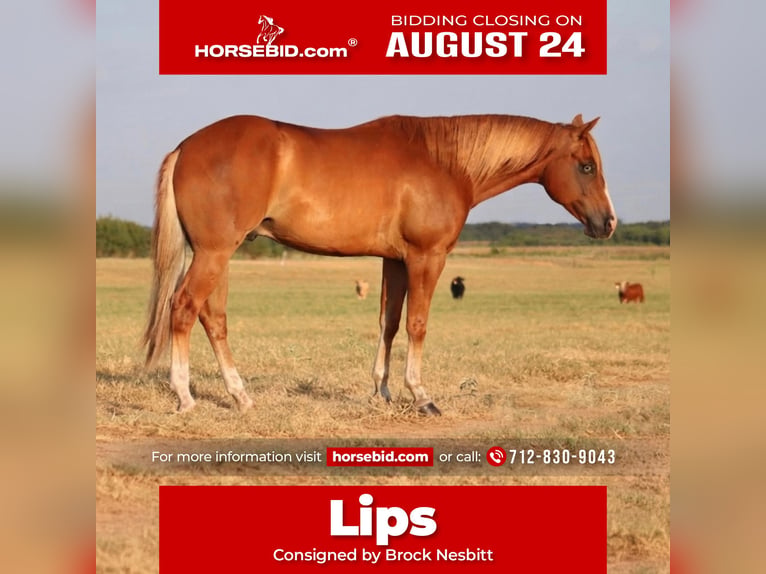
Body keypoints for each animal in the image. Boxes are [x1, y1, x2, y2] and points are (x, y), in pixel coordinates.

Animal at [143, 113, 616, 415]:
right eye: (586, 166)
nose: (608, 223)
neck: (444, 162)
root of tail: (185, 147)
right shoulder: (427, 257)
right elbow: (417, 324)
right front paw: (421, 395)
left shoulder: (395, 261)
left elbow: (388, 322)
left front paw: (381, 390)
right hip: (214, 253)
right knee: (182, 309)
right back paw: (185, 397)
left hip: (217, 255)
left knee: (213, 318)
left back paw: (240, 397)